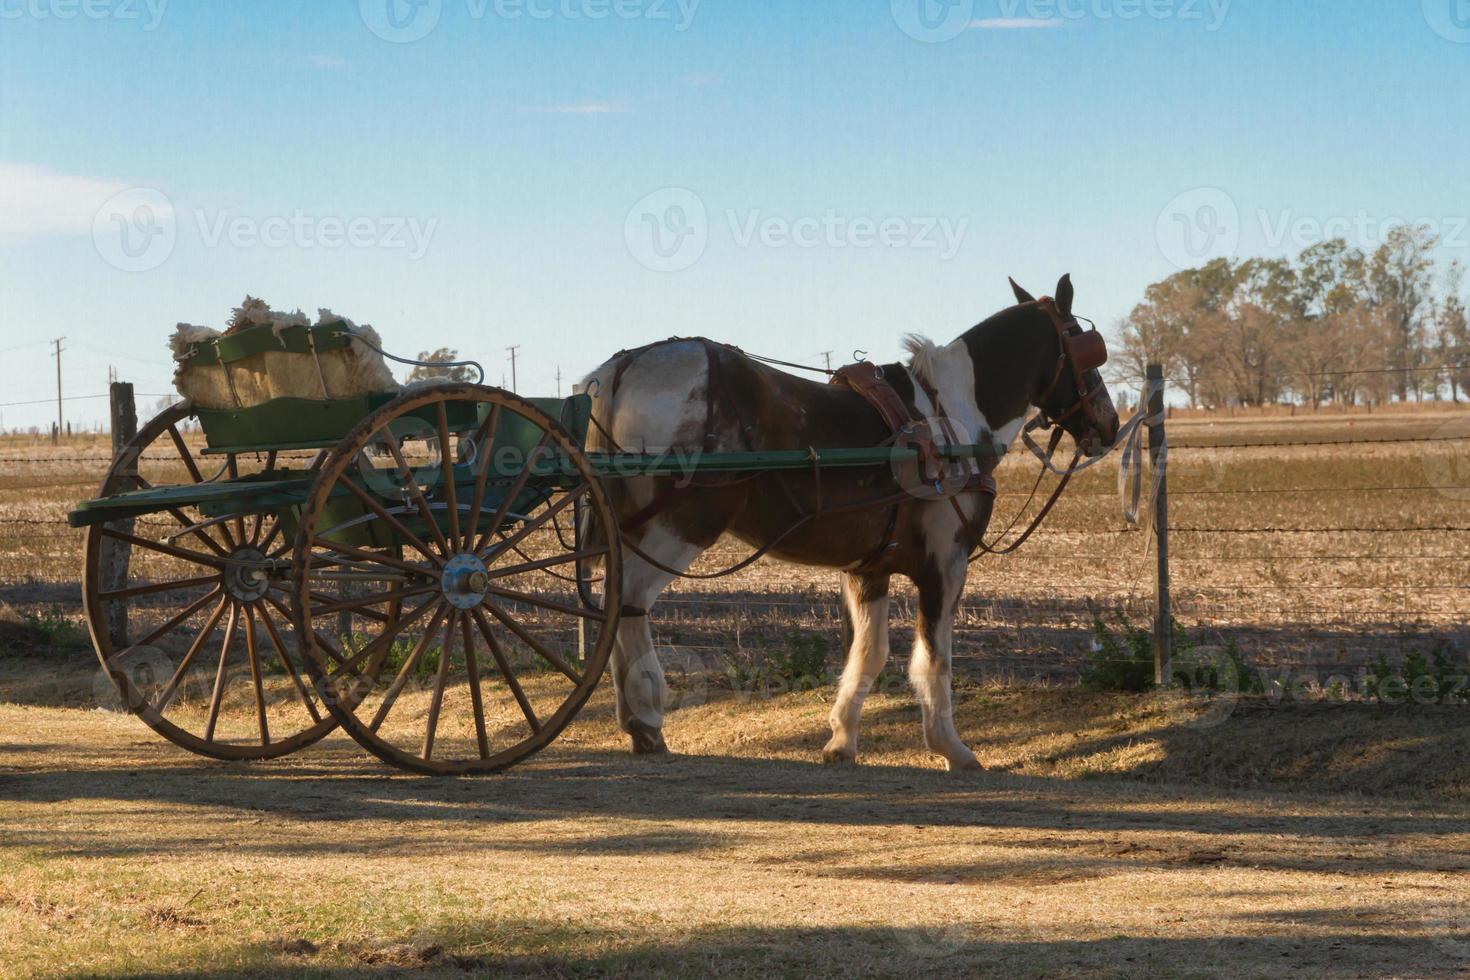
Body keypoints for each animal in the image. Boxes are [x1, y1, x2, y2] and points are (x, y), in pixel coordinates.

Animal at [579, 276, 1117, 775]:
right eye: (1082, 343)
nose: (1109, 425)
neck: (951, 416)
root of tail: (627, 365)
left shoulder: (868, 571)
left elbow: (870, 652)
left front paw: (841, 740)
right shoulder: (946, 564)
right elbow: (934, 657)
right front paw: (951, 747)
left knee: (615, 601)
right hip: (680, 527)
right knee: (631, 601)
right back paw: (647, 717)